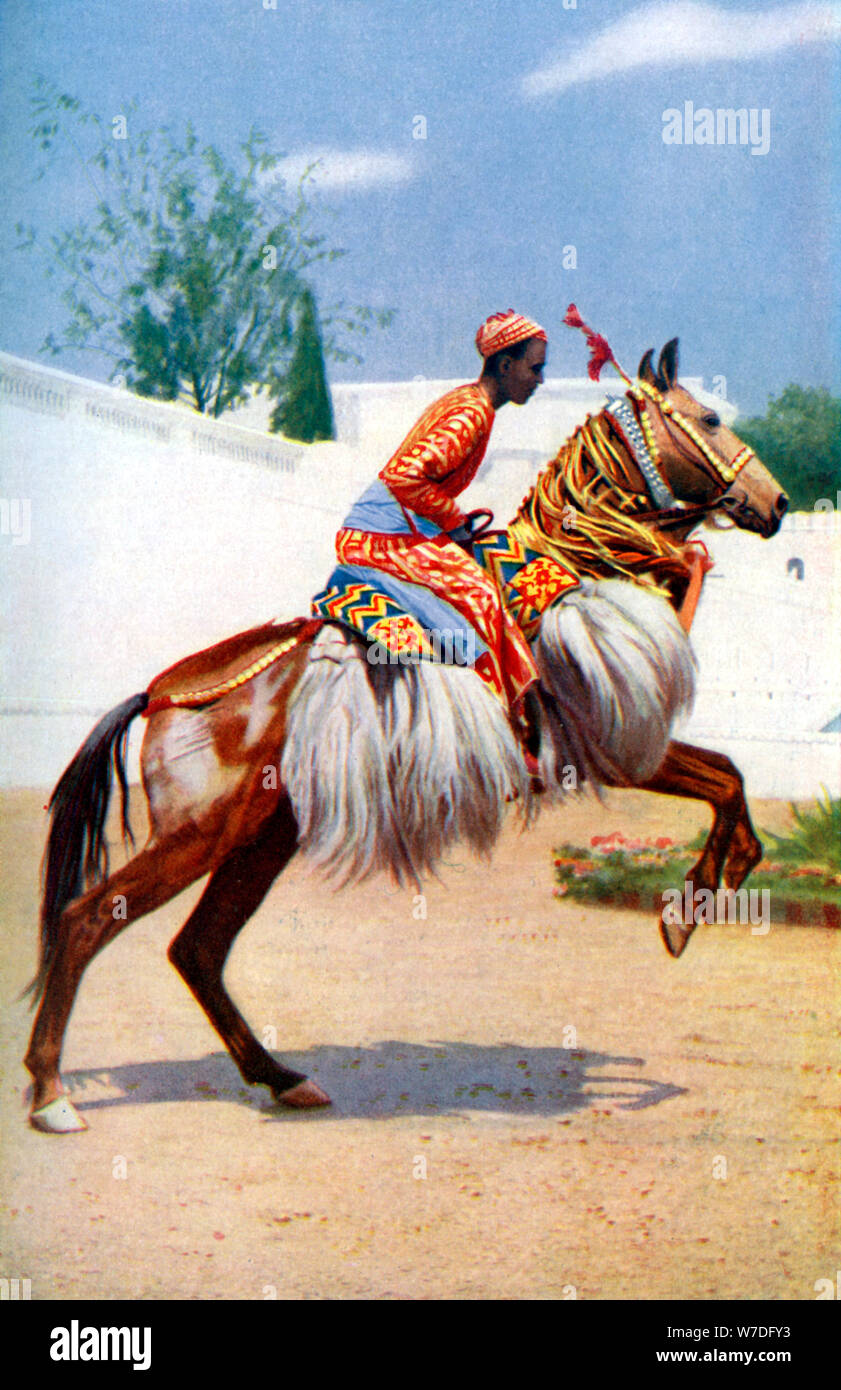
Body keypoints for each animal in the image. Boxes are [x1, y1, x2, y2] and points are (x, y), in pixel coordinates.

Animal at [24, 336, 789, 1128]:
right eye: (710, 417)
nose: (777, 504)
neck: (573, 565)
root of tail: (163, 693)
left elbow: (729, 777)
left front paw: (717, 883)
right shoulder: (614, 748)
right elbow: (725, 779)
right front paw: (696, 901)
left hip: (260, 838)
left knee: (197, 949)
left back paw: (282, 1078)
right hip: (198, 833)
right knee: (86, 921)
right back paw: (51, 1094)